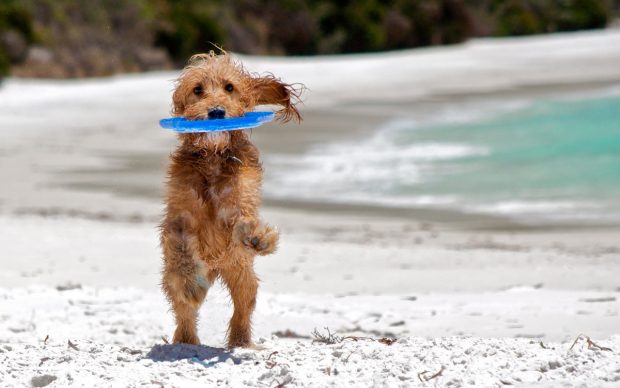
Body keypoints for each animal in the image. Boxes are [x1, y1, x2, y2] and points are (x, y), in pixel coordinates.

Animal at [161, 52, 302, 348]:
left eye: (229, 87)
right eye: (198, 89)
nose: (216, 112)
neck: (213, 158)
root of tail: (215, 268)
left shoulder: (239, 203)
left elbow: (242, 221)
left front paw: (258, 236)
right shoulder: (179, 218)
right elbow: (182, 250)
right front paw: (190, 283)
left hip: (241, 273)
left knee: (243, 306)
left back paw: (241, 341)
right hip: (176, 280)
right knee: (184, 310)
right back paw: (187, 339)